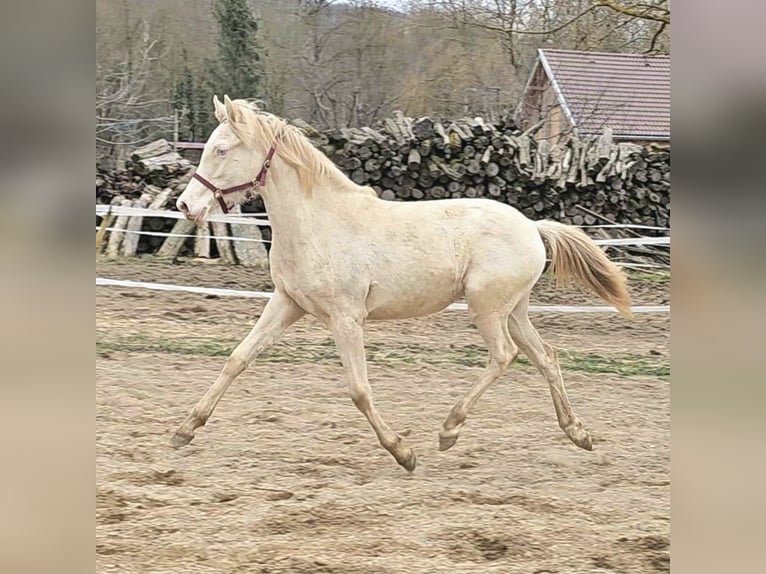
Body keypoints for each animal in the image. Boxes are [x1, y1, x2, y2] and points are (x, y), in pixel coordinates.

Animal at [174, 94, 636, 472]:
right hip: (514, 310)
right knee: (546, 357)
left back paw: (449, 430)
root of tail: (533, 227)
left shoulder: (346, 317)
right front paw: (185, 429)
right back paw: (578, 433)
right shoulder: (288, 303)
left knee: (505, 355)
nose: (185, 206)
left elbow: (359, 390)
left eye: (221, 149)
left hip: (486, 307)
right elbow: (238, 358)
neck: (318, 223)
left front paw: (403, 453)